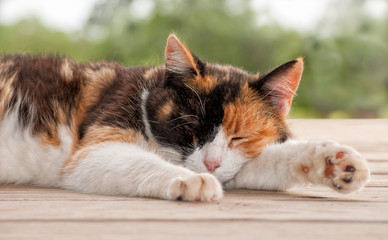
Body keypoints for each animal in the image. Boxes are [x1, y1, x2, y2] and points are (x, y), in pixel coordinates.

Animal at [0, 34, 370, 202]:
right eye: (191, 128)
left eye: (240, 137)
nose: (210, 165)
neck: (146, 93)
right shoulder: (96, 142)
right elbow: (129, 161)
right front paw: (192, 181)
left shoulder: (238, 162)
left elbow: (265, 163)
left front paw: (333, 162)